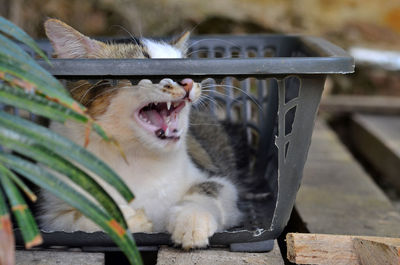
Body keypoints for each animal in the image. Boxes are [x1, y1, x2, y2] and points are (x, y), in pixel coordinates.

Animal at [39, 18, 242, 248]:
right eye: (144, 65)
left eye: (186, 65)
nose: (189, 81)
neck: (135, 155)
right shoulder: (51, 213)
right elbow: (75, 218)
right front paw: (131, 221)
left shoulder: (221, 181)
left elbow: (211, 190)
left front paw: (192, 219)